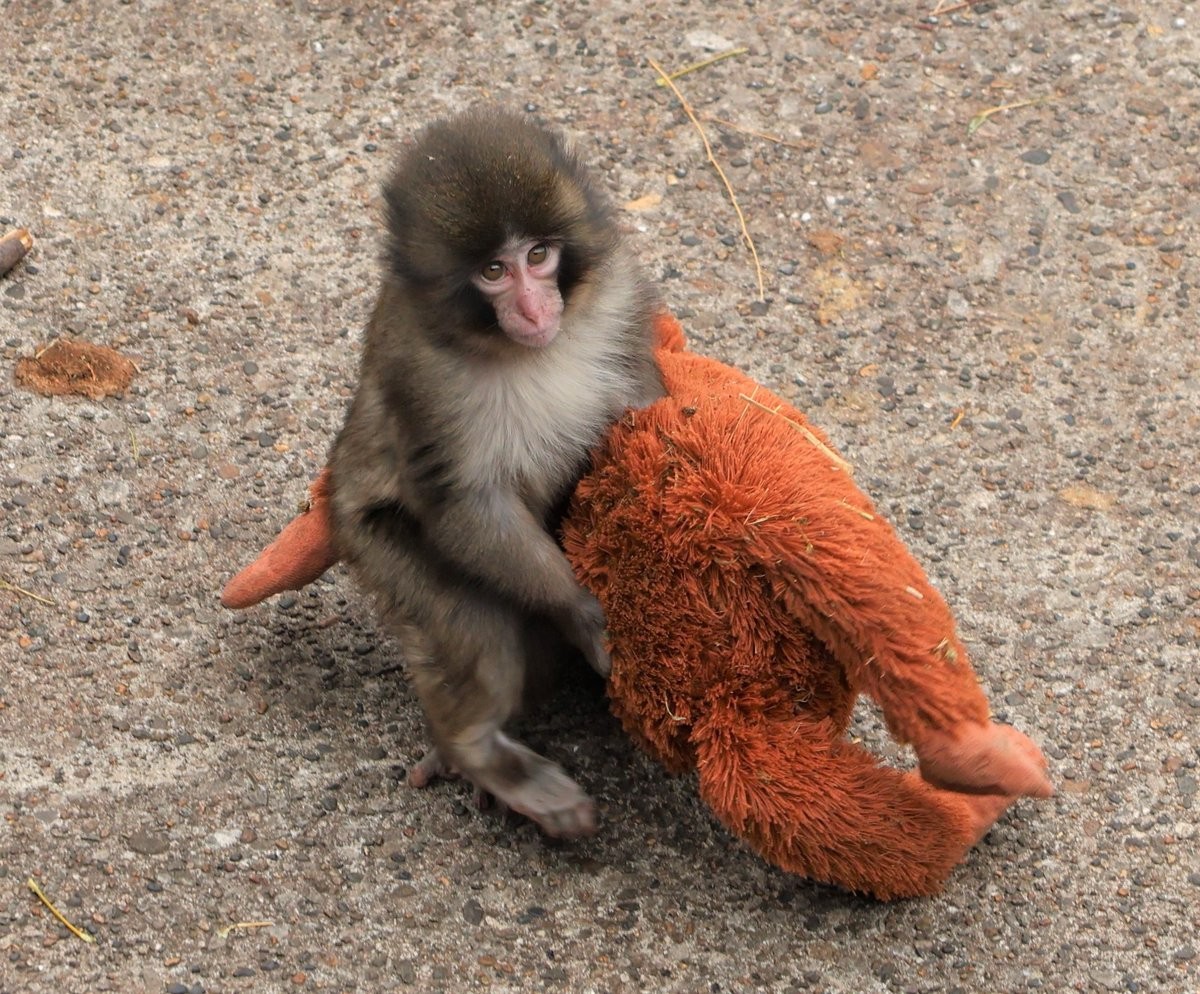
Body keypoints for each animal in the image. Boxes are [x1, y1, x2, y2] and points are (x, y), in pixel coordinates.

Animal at [327, 108, 664, 838]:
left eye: (538, 256)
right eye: (491, 271)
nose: (535, 310)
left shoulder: (619, 297)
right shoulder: (421, 372)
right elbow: (464, 504)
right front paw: (582, 612)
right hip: (372, 544)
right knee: (477, 627)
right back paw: (478, 752)